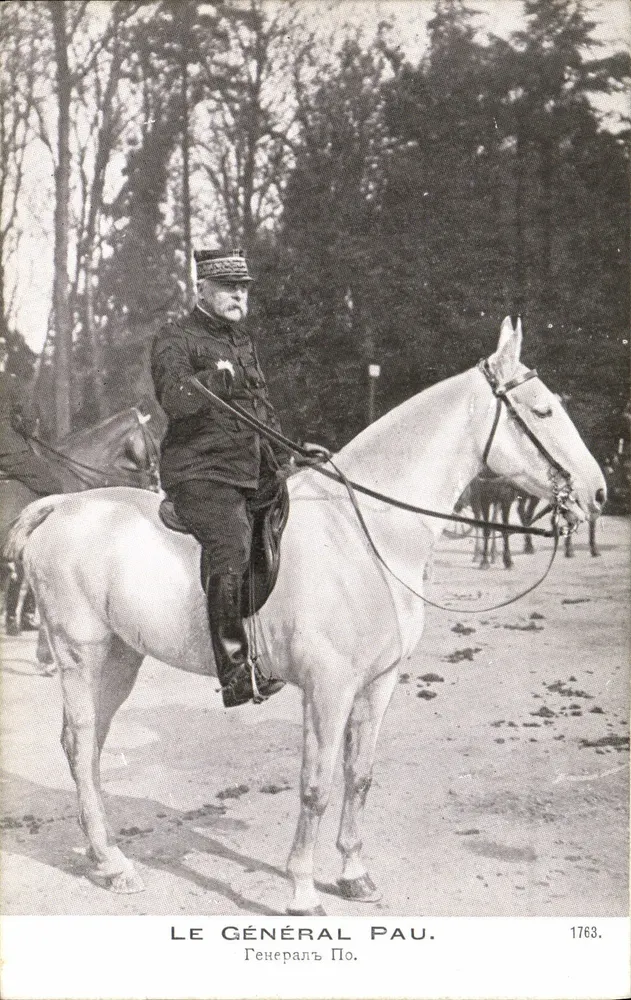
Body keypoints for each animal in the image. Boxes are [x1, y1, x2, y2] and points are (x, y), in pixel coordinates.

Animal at [4, 318, 606, 915]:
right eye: (543, 411)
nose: (598, 493)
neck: (366, 530)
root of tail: (57, 505)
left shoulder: (378, 682)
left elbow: (359, 775)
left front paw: (355, 874)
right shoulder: (328, 686)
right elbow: (316, 785)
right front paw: (301, 890)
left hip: (121, 658)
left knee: (90, 746)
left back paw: (104, 851)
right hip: (81, 654)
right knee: (80, 742)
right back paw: (112, 864)